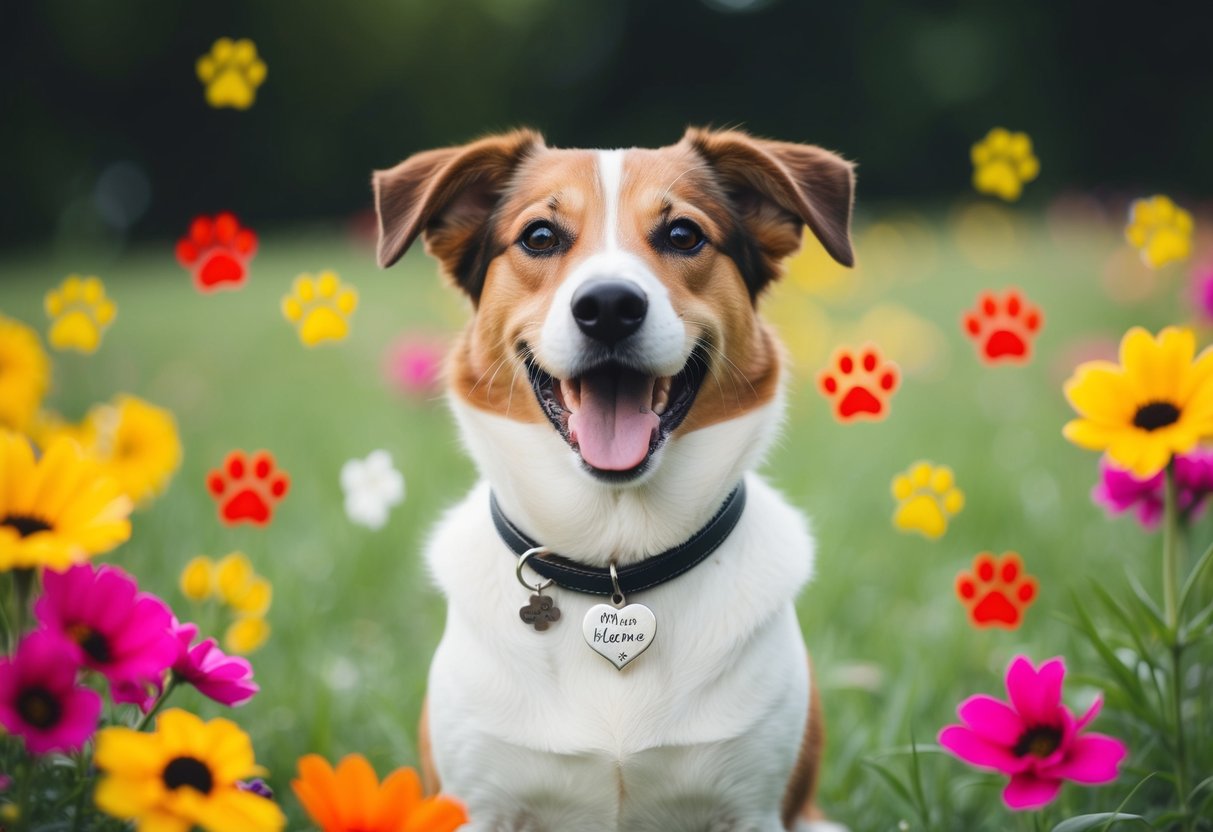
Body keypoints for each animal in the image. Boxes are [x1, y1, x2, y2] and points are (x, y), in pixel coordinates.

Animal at [373, 125, 858, 832]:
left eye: (683, 234)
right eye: (539, 236)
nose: (608, 306)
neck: (615, 560)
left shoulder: (756, 807)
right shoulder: (477, 804)